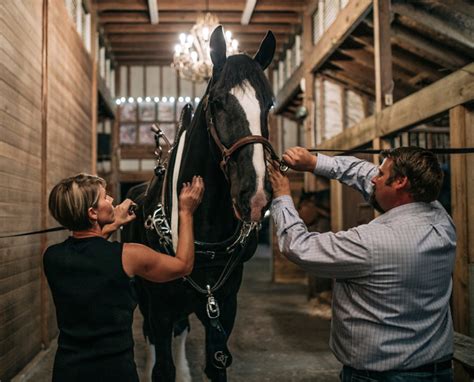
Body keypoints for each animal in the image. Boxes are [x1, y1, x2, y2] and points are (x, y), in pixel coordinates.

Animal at [123, 26, 278, 382]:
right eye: (218, 102)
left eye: (269, 104)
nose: (255, 195)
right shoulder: (160, 306)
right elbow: (162, 366)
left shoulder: (223, 305)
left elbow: (215, 364)